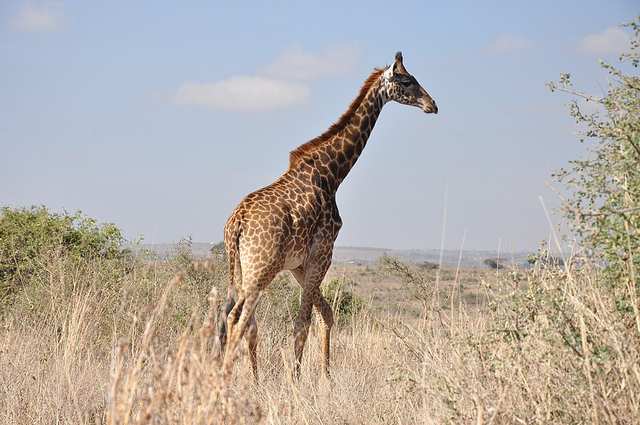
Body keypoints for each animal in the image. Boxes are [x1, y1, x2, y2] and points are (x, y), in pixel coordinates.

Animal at [219, 52, 437, 379]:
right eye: (407, 81)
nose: (432, 104)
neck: (333, 173)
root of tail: (236, 224)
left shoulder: (299, 264)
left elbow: (326, 314)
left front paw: (326, 376)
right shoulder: (323, 253)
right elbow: (303, 323)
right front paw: (297, 381)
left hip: (243, 268)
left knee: (243, 321)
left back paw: (250, 380)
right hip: (261, 269)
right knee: (238, 319)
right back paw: (224, 380)